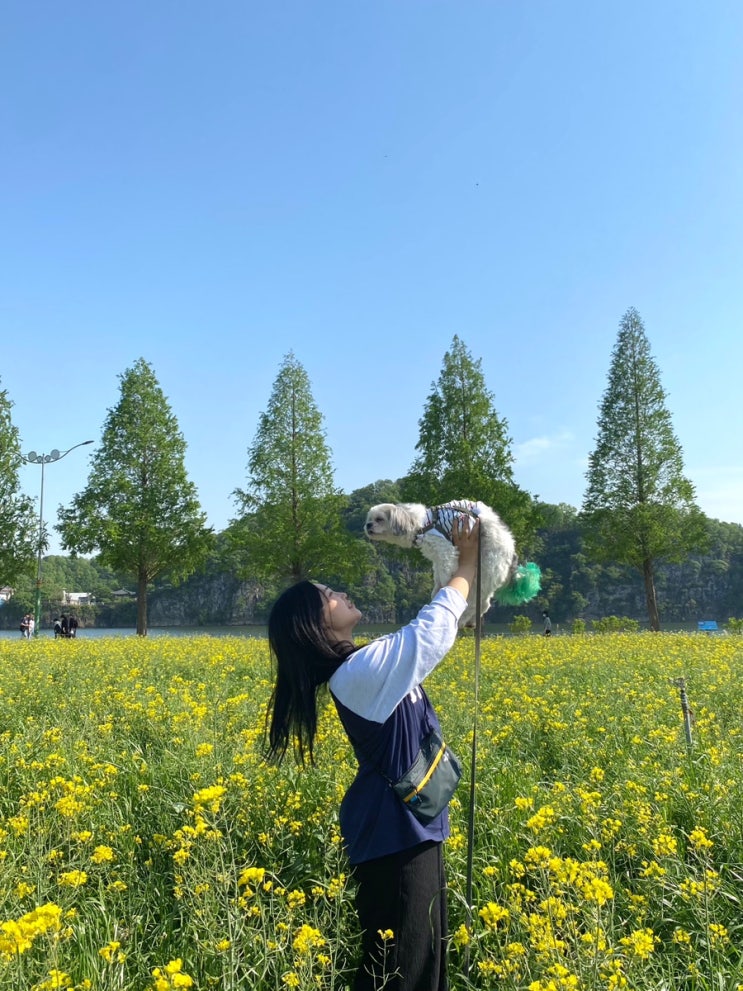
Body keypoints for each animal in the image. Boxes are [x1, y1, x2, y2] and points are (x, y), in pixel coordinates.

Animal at [365, 499, 540, 627]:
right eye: (369, 519)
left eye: (379, 519)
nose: (368, 525)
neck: (421, 524)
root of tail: (511, 553)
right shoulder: (437, 557)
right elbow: (437, 575)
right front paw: (437, 589)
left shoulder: (445, 550)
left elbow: (446, 573)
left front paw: (445, 587)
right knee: (484, 604)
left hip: (485, 571)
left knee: (477, 603)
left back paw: (462, 620)